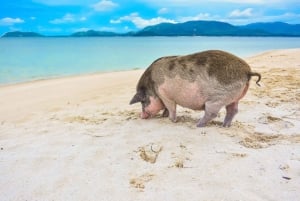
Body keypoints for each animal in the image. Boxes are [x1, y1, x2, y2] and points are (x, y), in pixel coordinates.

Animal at [129, 49, 260, 126]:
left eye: (143, 102)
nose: (141, 116)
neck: (153, 87)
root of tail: (247, 71)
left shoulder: (165, 94)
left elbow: (171, 108)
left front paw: (170, 120)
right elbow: (166, 108)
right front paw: (163, 116)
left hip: (218, 98)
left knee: (212, 113)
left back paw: (198, 124)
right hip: (234, 98)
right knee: (233, 110)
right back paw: (224, 126)